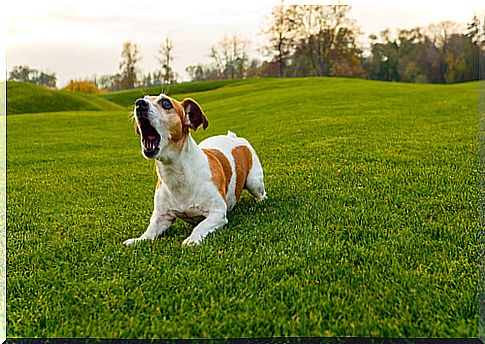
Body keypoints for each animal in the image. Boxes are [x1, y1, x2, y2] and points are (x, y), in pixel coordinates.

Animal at [121, 92, 264, 246]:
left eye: (166, 103)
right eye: (144, 98)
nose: (139, 104)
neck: (177, 174)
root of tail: (236, 138)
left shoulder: (217, 213)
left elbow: (200, 226)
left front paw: (191, 240)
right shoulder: (161, 216)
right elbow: (150, 230)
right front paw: (139, 240)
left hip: (254, 182)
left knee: (261, 195)